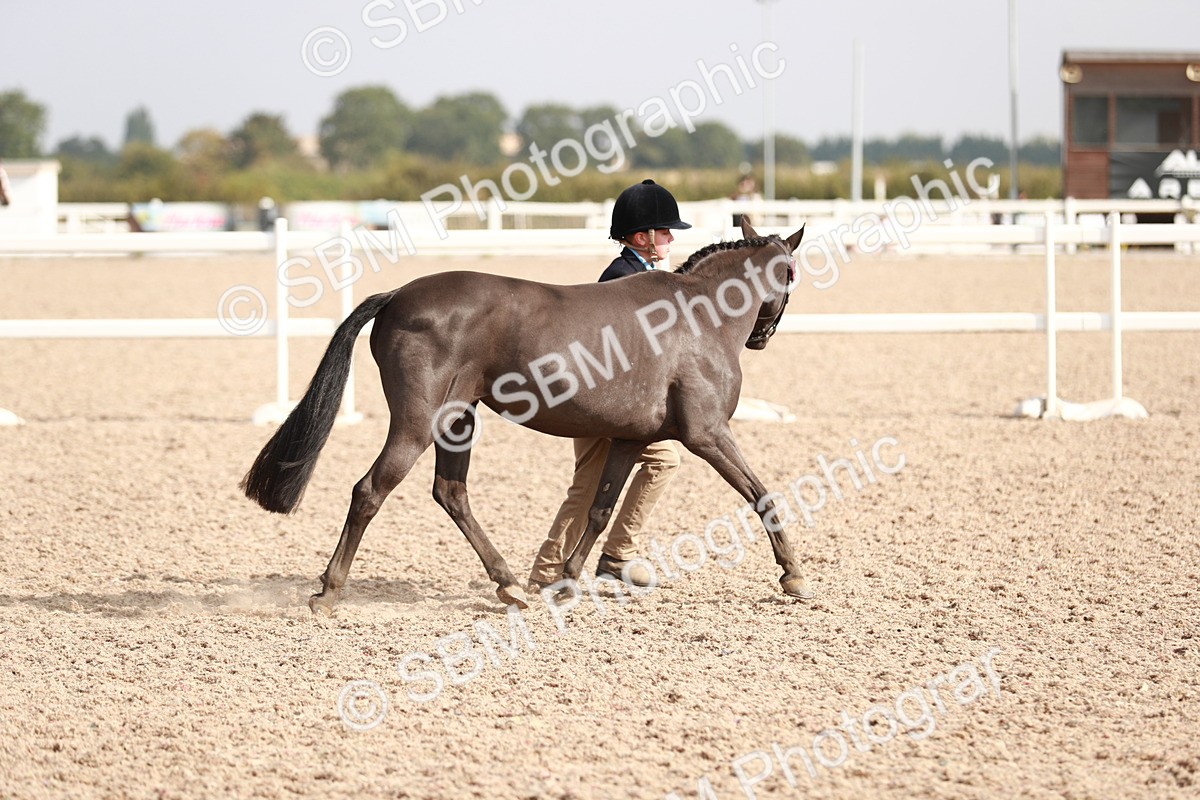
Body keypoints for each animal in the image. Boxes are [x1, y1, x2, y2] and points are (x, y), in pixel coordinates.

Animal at [240, 218, 812, 615]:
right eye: (792, 273)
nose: (762, 337)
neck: (697, 317)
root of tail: (398, 296)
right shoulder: (708, 434)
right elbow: (762, 494)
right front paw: (794, 576)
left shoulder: (629, 439)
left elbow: (600, 510)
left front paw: (569, 579)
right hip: (417, 423)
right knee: (370, 491)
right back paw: (328, 593)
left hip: (458, 420)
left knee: (451, 493)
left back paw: (511, 584)